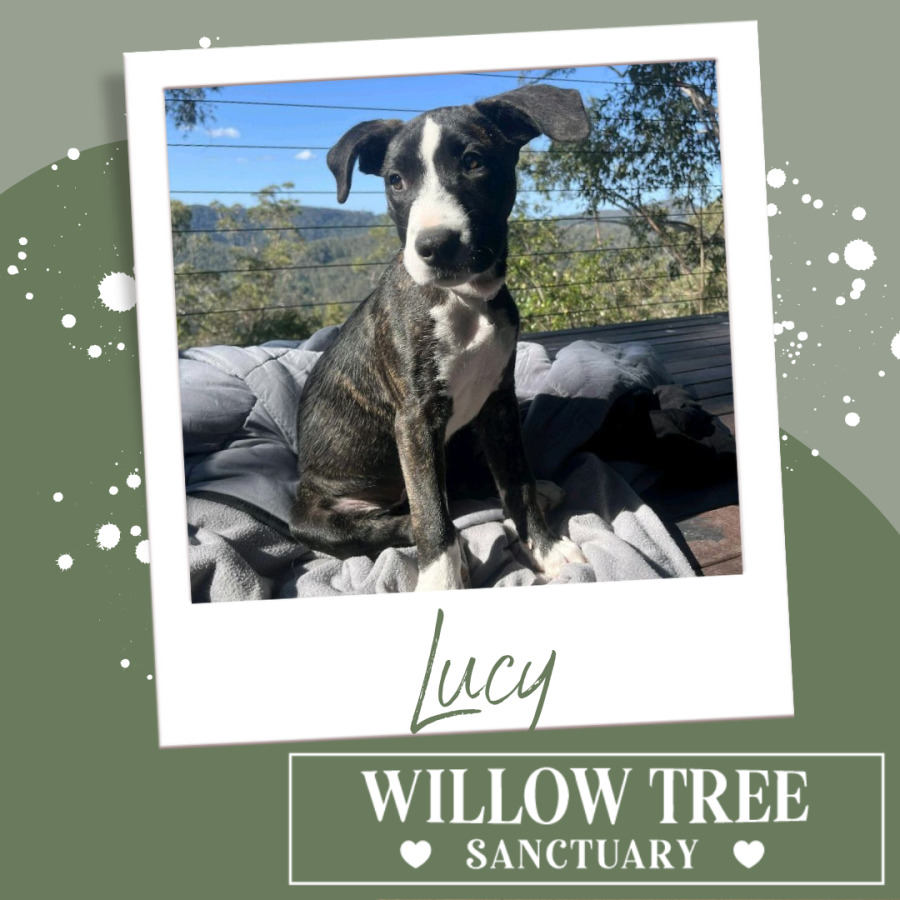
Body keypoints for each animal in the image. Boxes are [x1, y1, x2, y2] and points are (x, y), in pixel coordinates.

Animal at [290, 84, 591, 592]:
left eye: (473, 162)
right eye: (394, 180)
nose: (435, 246)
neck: (464, 299)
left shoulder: (498, 404)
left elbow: (518, 482)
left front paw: (546, 548)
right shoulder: (415, 420)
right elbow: (432, 511)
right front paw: (442, 582)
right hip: (316, 520)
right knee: (405, 520)